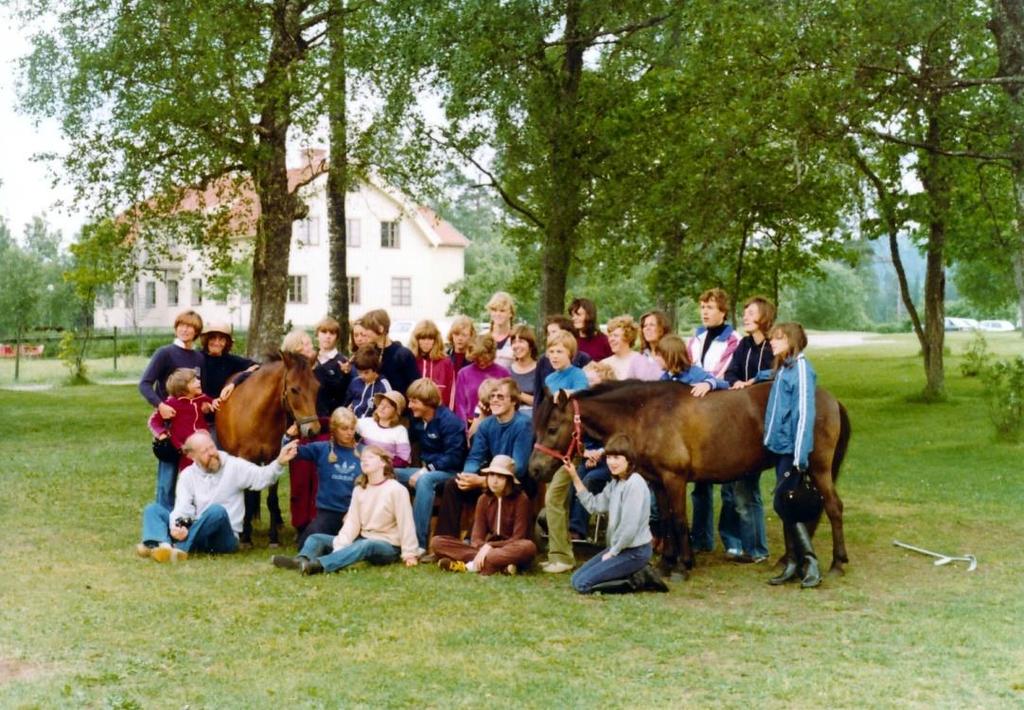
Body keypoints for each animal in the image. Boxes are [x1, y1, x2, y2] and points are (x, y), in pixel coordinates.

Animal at [211, 352, 315, 545]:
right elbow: (247, 496)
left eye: (317, 387)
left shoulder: (274, 458)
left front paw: (273, 537)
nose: (313, 429)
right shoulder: (245, 458)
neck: (258, 415)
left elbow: (271, 498)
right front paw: (245, 537)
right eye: (294, 389)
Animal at [532, 379, 851, 577]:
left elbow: (678, 519)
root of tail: (830, 398)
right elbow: (666, 520)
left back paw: (837, 562)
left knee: (833, 508)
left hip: (818, 468)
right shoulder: (658, 481)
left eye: (552, 428)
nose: (534, 469)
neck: (645, 414)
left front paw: (682, 565)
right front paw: (667, 562)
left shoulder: (674, 479)